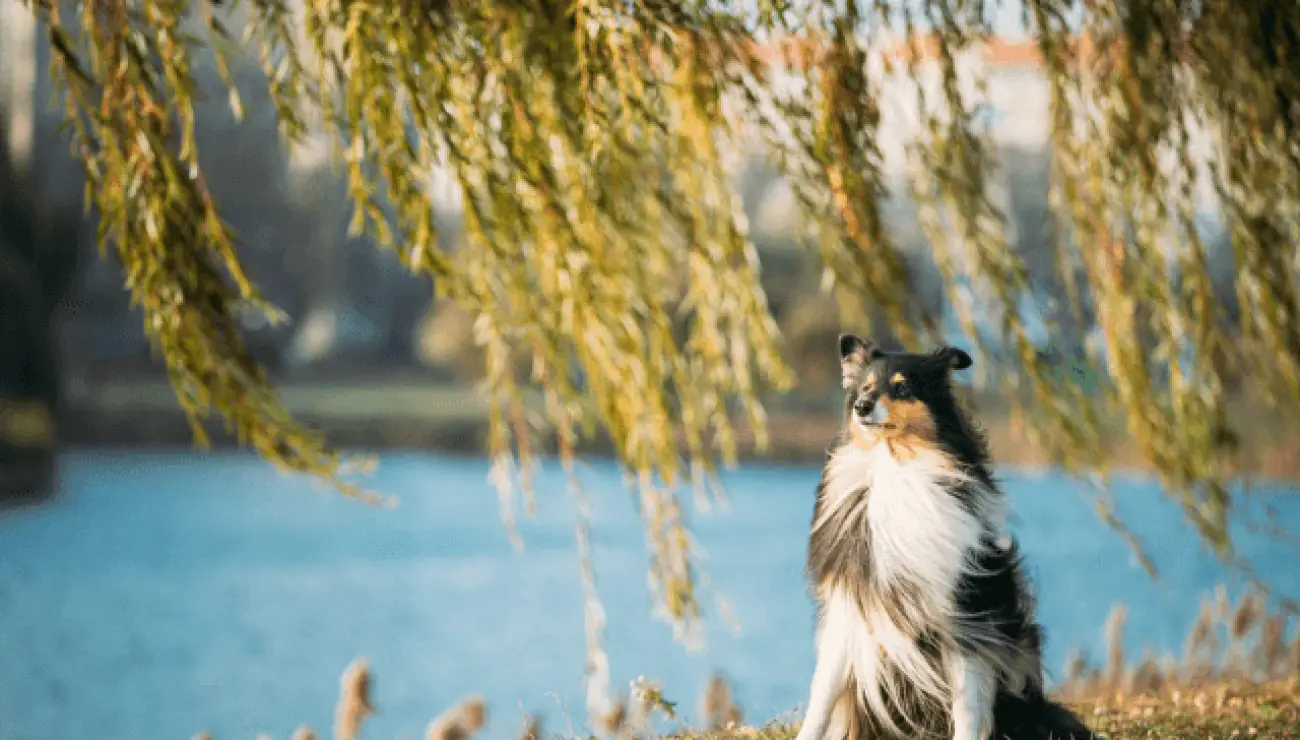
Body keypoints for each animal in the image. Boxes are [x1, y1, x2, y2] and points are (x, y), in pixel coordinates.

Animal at [790, 335, 1097, 738]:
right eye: (866, 388)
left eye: (902, 387)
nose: (861, 407)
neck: (898, 468)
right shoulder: (849, 607)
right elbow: (822, 696)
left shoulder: (965, 616)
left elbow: (967, 705)